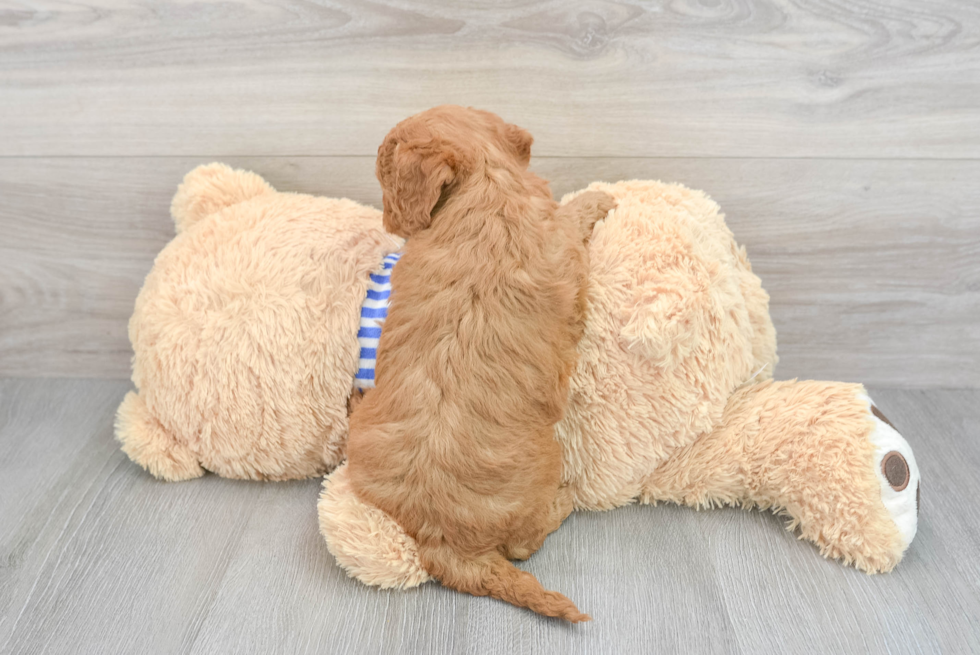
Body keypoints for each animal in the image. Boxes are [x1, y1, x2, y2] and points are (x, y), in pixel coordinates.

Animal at [348, 106, 612, 620]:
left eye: (385, 176)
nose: (389, 220)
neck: (488, 185)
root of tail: (442, 543)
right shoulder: (562, 241)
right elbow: (571, 217)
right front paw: (599, 196)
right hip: (544, 469)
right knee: (526, 543)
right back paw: (566, 498)